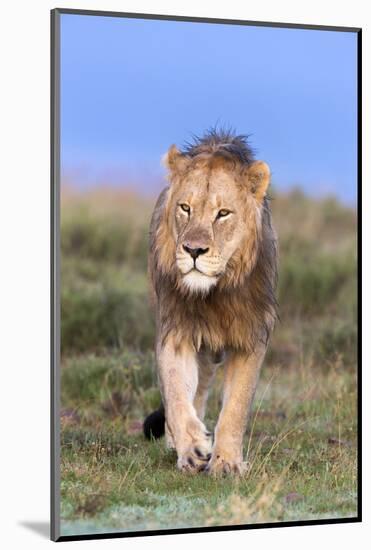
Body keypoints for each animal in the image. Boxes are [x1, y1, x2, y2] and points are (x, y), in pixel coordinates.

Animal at [144, 130, 278, 478]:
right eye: (185, 208)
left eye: (223, 213)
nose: (193, 250)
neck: (214, 294)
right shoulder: (175, 330)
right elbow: (177, 394)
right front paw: (192, 449)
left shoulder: (251, 336)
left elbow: (236, 407)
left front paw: (227, 462)